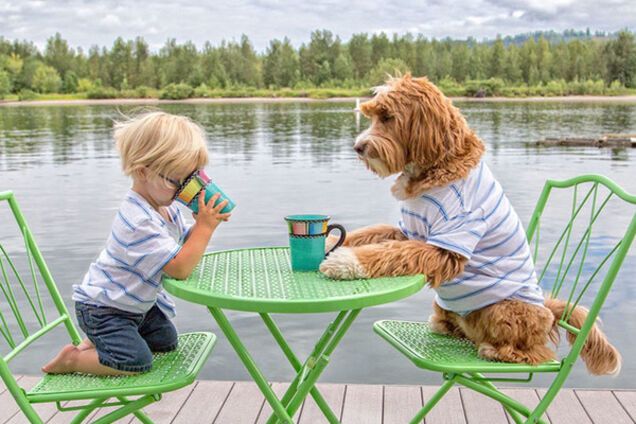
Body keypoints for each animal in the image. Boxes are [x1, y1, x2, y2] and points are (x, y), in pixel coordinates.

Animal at [320, 73, 620, 374]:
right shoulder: (407, 231)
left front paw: (345, 261)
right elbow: (372, 234)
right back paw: (446, 326)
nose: (358, 147)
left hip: (504, 310)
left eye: (387, 117)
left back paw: (496, 350)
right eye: (371, 116)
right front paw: (332, 242)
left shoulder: (447, 244)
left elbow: (392, 253)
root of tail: (547, 308)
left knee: (536, 352)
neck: (436, 167)